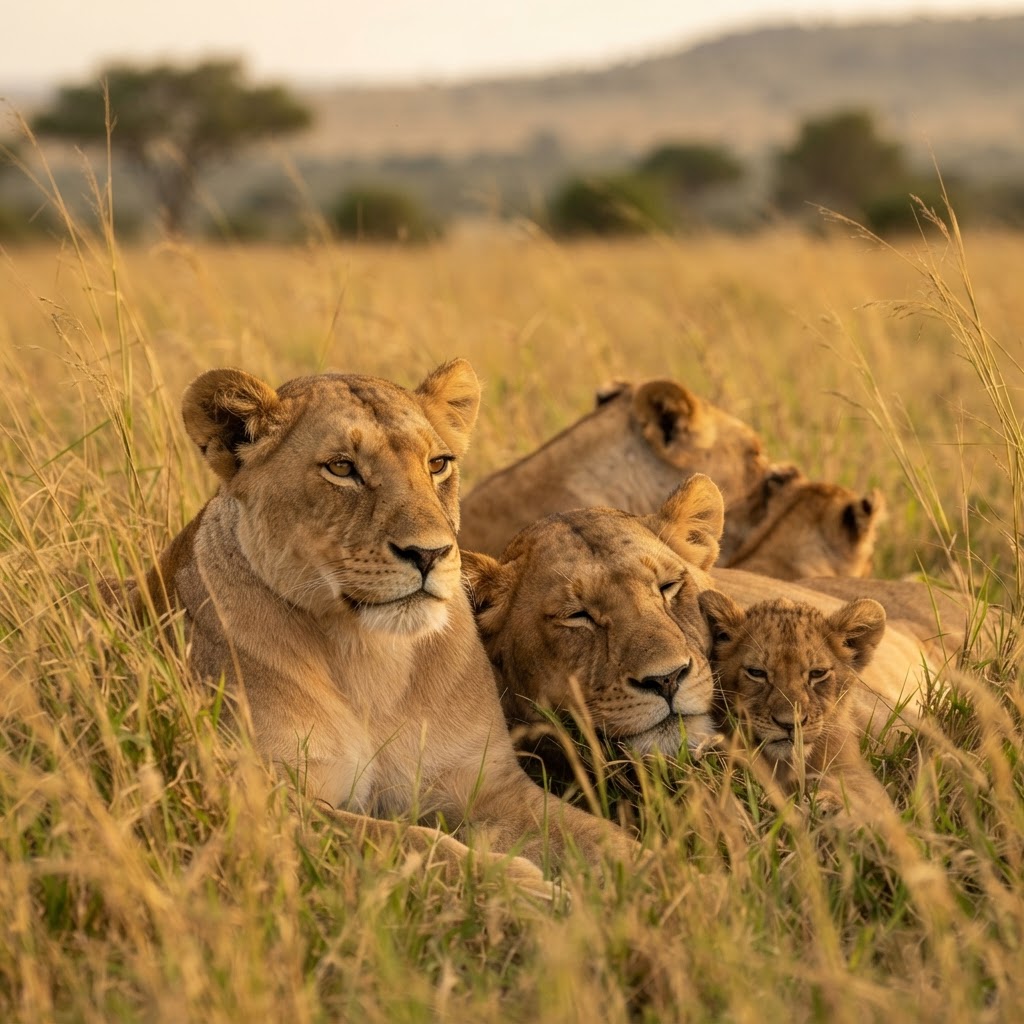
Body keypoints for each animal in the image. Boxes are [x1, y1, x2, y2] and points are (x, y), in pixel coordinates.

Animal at [118, 361, 640, 891]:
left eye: (438, 464)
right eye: (341, 468)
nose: (430, 553)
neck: (371, 657)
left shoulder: (486, 784)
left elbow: (602, 838)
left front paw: (654, 879)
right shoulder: (261, 802)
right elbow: (408, 843)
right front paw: (523, 886)